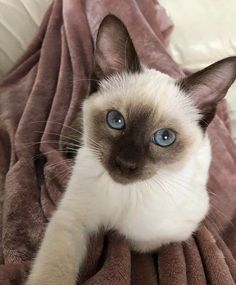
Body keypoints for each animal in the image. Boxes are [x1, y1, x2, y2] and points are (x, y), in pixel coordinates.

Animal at [25, 15, 236, 284]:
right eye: (116, 121)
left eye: (165, 138)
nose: (125, 163)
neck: (125, 196)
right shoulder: (70, 218)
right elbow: (52, 270)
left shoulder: (176, 229)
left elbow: (139, 242)